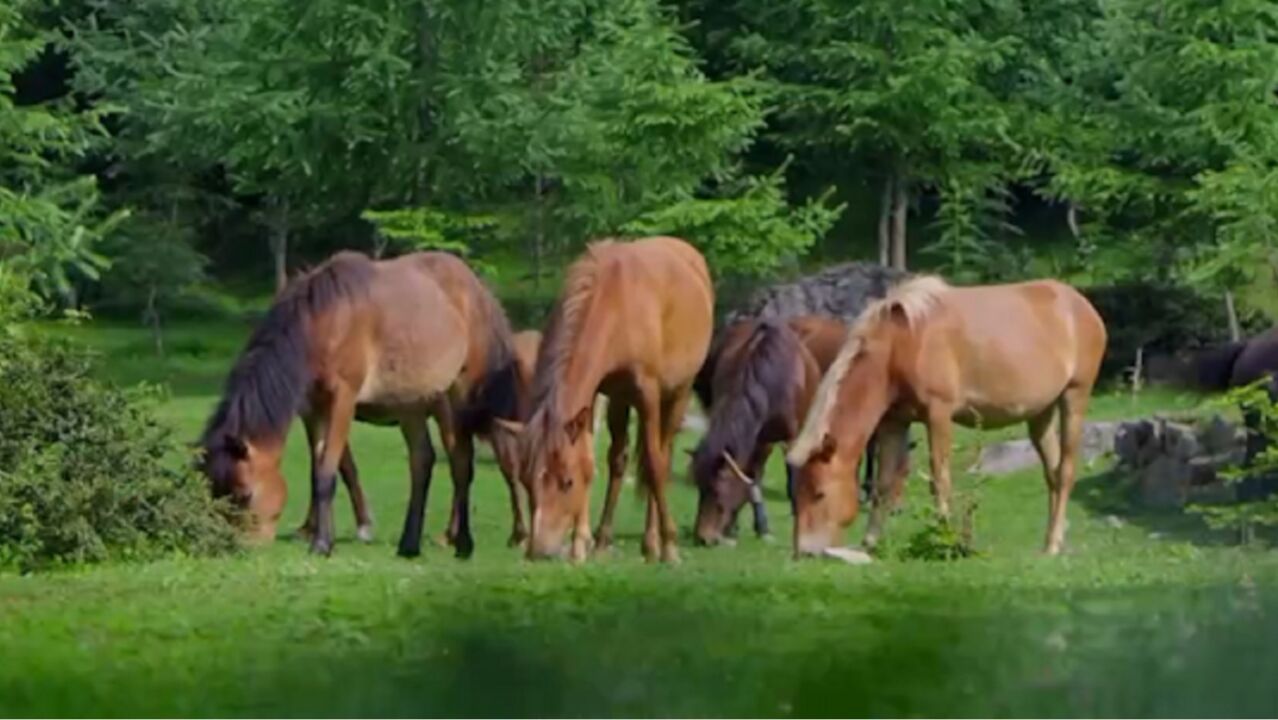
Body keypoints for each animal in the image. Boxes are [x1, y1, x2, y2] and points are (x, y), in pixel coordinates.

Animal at [493, 236, 715, 562]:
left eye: (567, 482)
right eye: (526, 479)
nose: (540, 550)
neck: (615, 304)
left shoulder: (647, 394)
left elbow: (654, 464)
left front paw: (669, 546)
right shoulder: (603, 394)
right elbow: (594, 459)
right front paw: (586, 543)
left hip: (678, 393)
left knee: (661, 456)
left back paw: (654, 542)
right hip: (623, 401)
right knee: (621, 459)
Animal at [782, 276, 1104, 557]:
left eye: (819, 493)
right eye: (795, 495)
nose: (804, 552)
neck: (900, 344)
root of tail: (1081, 305)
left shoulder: (938, 415)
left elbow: (940, 480)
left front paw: (944, 537)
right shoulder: (894, 422)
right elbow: (883, 484)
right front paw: (871, 542)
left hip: (1074, 397)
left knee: (1065, 471)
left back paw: (1052, 545)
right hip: (1040, 414)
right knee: (1052, 473)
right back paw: (1053, 540)